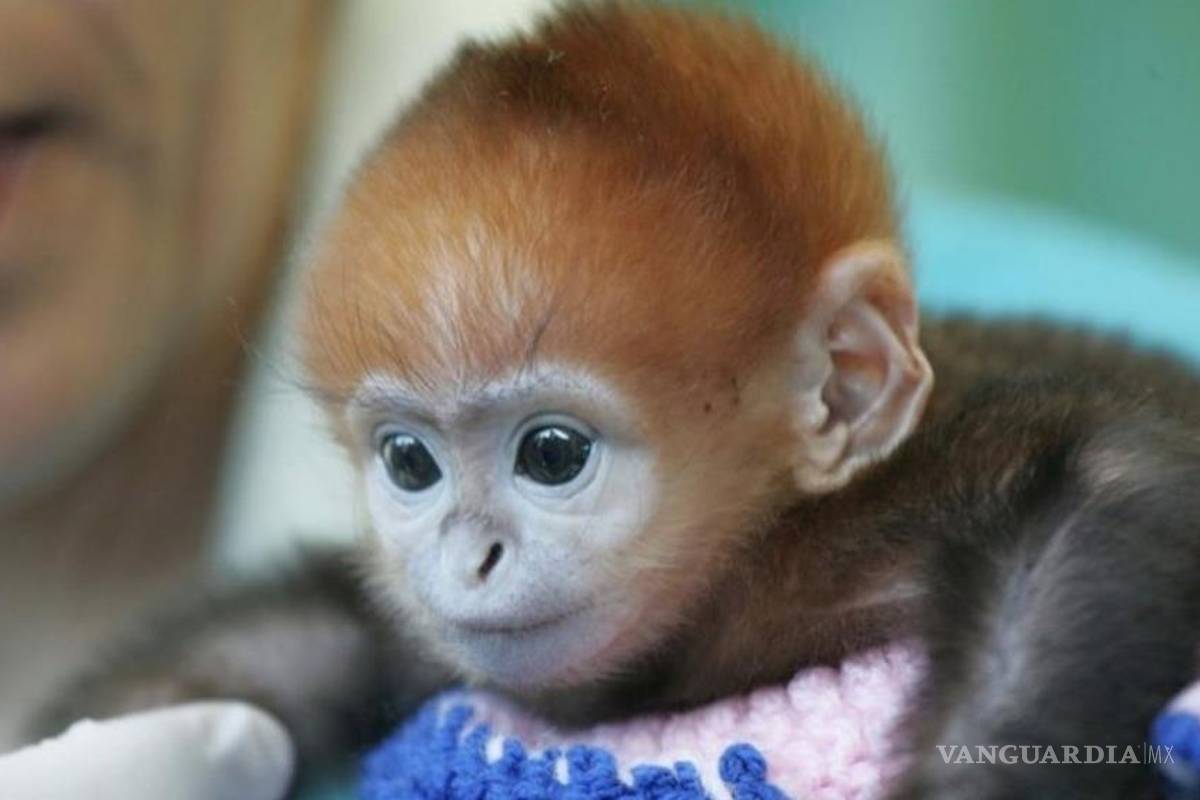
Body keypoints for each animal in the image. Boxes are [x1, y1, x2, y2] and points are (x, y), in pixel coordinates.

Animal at [31, 4, 1200, 798]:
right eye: (410, 461)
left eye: (552, 453)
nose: (469, 557)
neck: (752, 558)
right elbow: (308, 630)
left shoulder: (894, 501)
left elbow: (1120, 483)